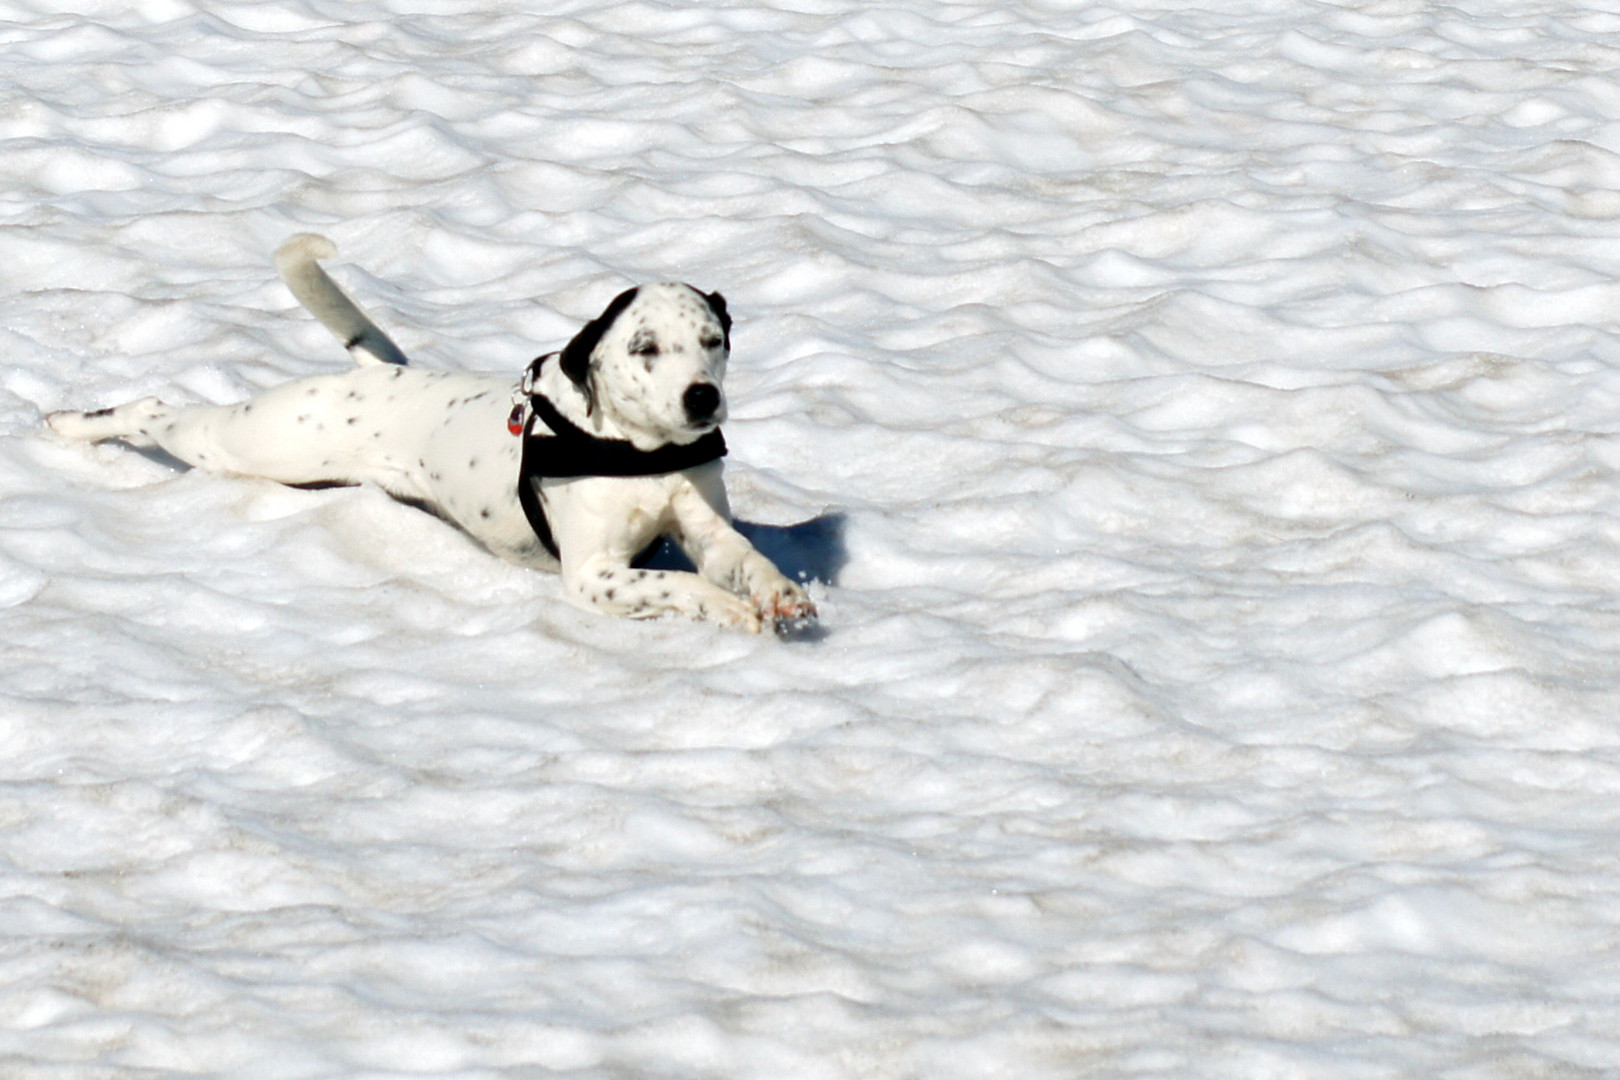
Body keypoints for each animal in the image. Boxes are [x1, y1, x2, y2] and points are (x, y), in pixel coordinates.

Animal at [45, 233, 816, 628]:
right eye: (645, 347)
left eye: (713, 340)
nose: (701, 397)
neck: (643, 454)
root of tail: (374, 375)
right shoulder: (594, 575)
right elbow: (679, 587)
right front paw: (728, 609)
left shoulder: (706, 531)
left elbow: (748, 560)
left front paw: (781, 595)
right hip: (251, 442)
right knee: (153, 409)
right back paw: (70, 425)